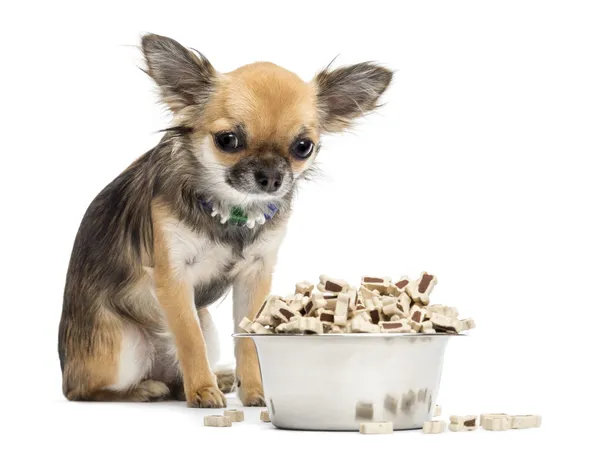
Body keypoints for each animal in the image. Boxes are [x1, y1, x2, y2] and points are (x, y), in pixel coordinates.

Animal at [58, 30, 392, 406]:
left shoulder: (255, 276)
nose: (271, 177)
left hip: (206, 325)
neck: (234, 209)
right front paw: (203, 391)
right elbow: (190, 340)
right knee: (87, 391)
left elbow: (248, 340)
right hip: (124, 346)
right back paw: (147, 388)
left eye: (303, 146)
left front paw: (255, 390)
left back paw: (215, 378)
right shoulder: (173, 278)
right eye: (228, 140)